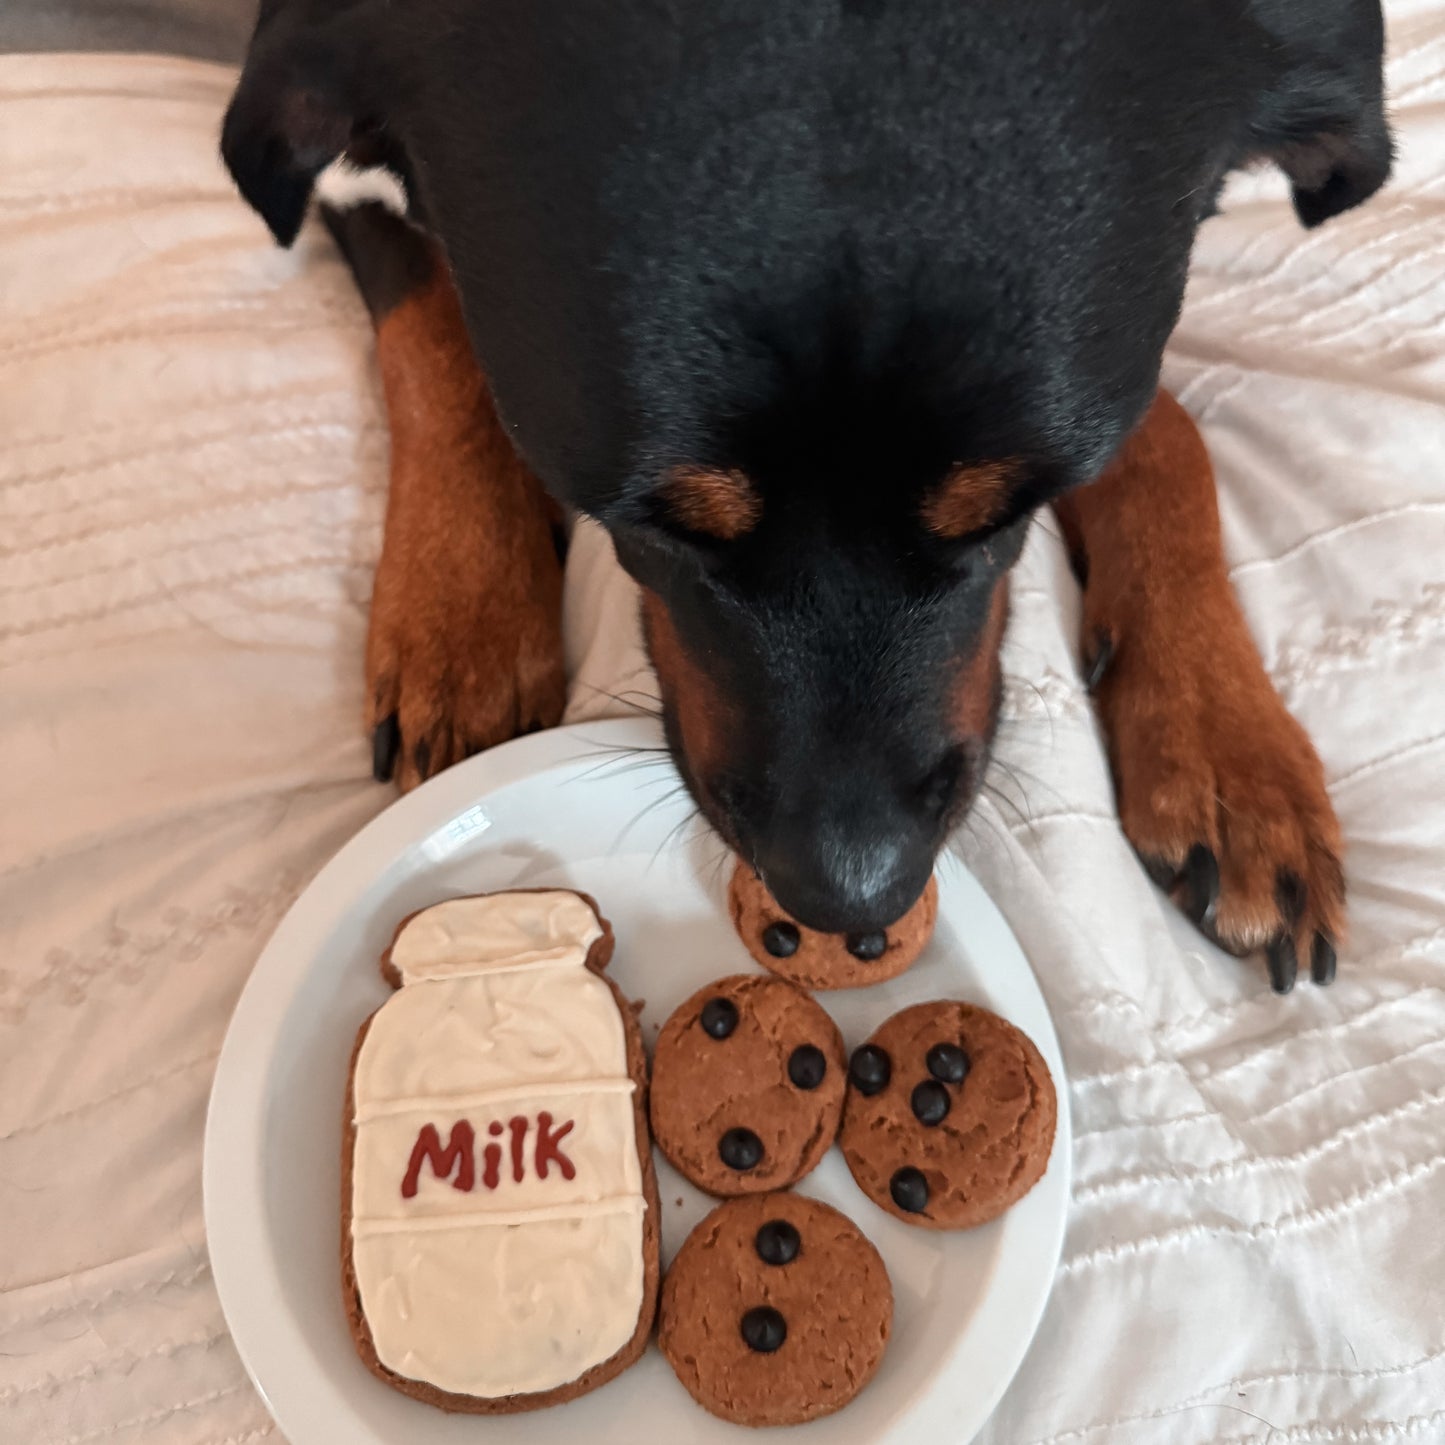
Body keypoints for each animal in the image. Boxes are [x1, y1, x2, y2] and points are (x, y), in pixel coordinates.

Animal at [219, 0, 1392, 994]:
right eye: (652, 527)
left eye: (1002, 518)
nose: (853, 890)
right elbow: (428, 305)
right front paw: (462, 610)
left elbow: (1163, 428)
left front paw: (1227, 740)